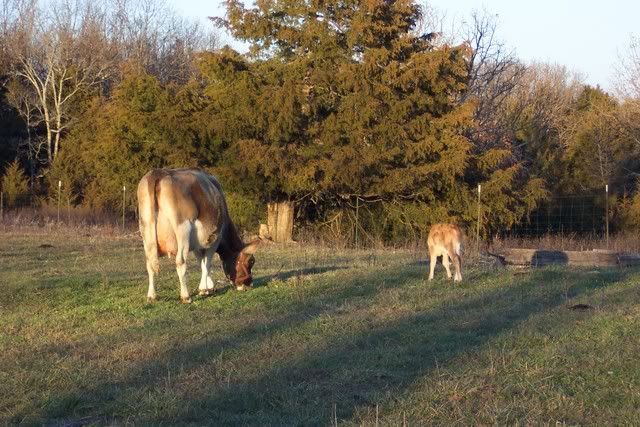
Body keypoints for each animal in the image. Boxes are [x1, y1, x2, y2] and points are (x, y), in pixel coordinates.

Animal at [137, 168, 261, 303]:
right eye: (251, 261)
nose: (249, 284)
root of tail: (158, 172)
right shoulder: (215, 239)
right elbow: (207, 263)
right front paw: (204, 289)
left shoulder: (196, 243)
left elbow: (201, 262)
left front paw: (208, 286)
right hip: (183, 228)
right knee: (180, 261)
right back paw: (186, 296)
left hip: (145, 229)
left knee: (149, 263)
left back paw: (151, 296)